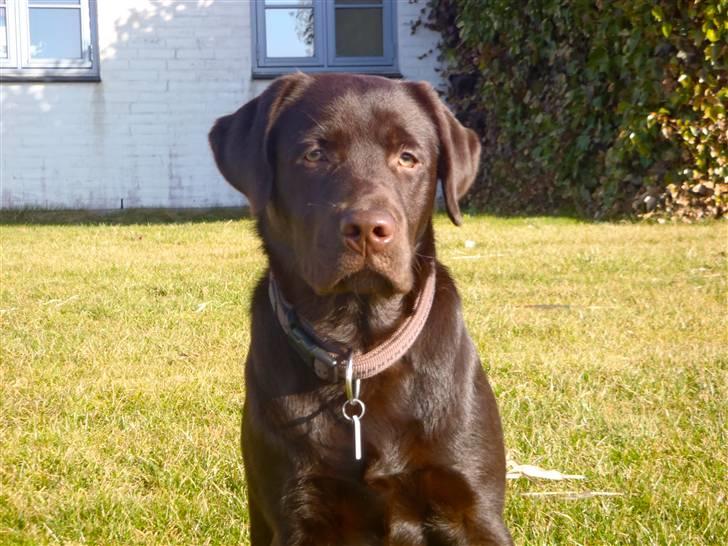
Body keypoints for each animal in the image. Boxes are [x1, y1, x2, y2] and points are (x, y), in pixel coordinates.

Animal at [208, 73, 510, 544]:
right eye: (314, 154)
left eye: (408, 157)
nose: (369, 228)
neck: (358, 345)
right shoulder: (297, 513)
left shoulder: (472, 508)